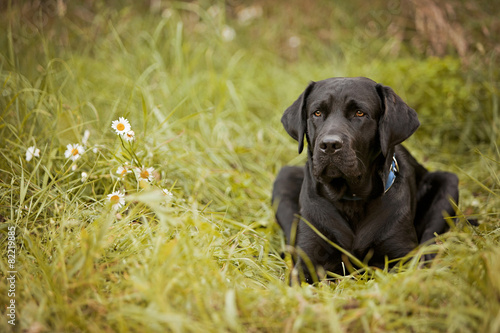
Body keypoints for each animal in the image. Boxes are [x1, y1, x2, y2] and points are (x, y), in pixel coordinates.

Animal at [272, 76, 458, 282]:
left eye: (359, 113)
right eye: (317, 113)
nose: (329, 145)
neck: (351, 199)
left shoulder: (401, 258)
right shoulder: (308, 263)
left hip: (448, 184)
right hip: (284, 179)